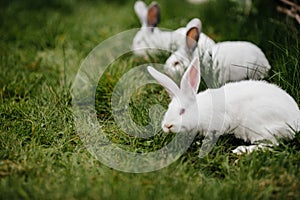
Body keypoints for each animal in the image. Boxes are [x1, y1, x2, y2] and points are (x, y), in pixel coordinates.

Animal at [148, 57, 300, 155]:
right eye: (168, 109)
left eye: (182, 111)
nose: (167, 126)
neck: (200, 110)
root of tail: (296, 122)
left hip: (258, 125)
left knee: (272, 144)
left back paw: (241, 150)